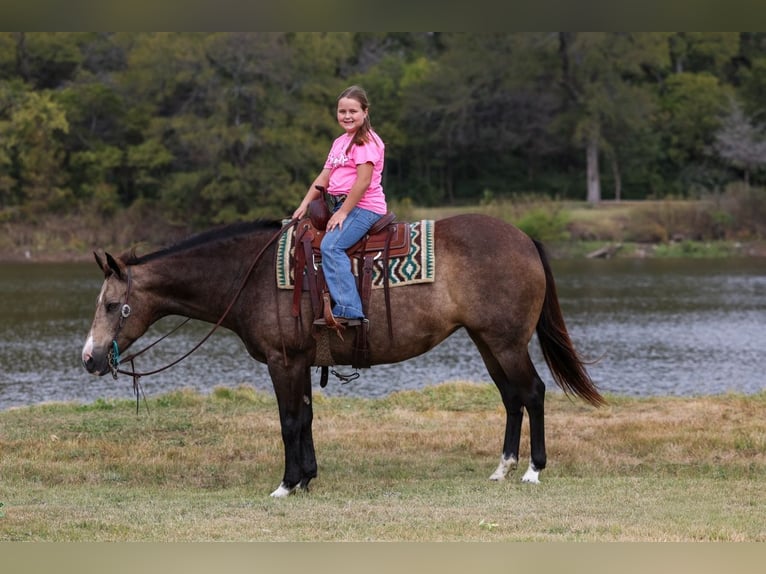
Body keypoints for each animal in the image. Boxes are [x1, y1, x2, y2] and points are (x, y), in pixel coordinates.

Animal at [81, 214, 604, 497]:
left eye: (110, 305)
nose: (88, 358)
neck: (250, 276)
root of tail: (524, 238)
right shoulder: (302, 362)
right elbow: (307, 418)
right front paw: (308, 478)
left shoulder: (284, 360)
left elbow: (290, 421)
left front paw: (287, 483)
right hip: (486, 341)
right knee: (512, 399)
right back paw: (503, 467)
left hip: (506, 341)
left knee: (533, 393)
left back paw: (533, 471)